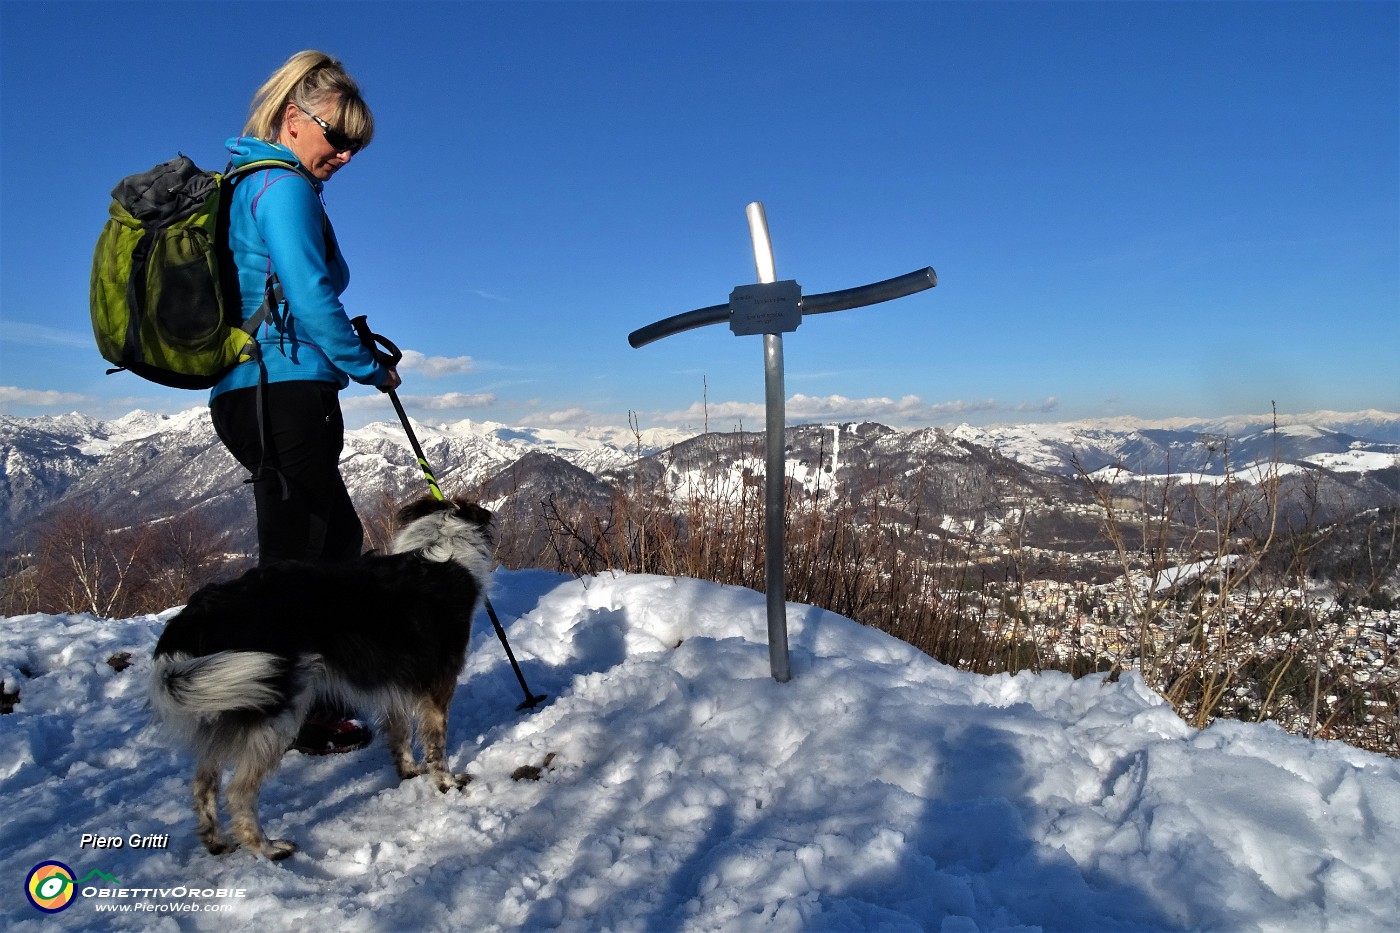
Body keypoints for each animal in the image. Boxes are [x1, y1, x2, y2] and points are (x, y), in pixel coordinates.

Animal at [149, 493, 492, 857]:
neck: (442, 546)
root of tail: (196, 614)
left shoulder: (391, 684)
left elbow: (399, 734)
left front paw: (410, 772)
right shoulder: (439, 685)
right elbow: (436, 743)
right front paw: (447, 784)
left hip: (221, 698)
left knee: (203, 783)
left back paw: (216, 842)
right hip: (274, 711)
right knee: (238, 793)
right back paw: (268, 849)